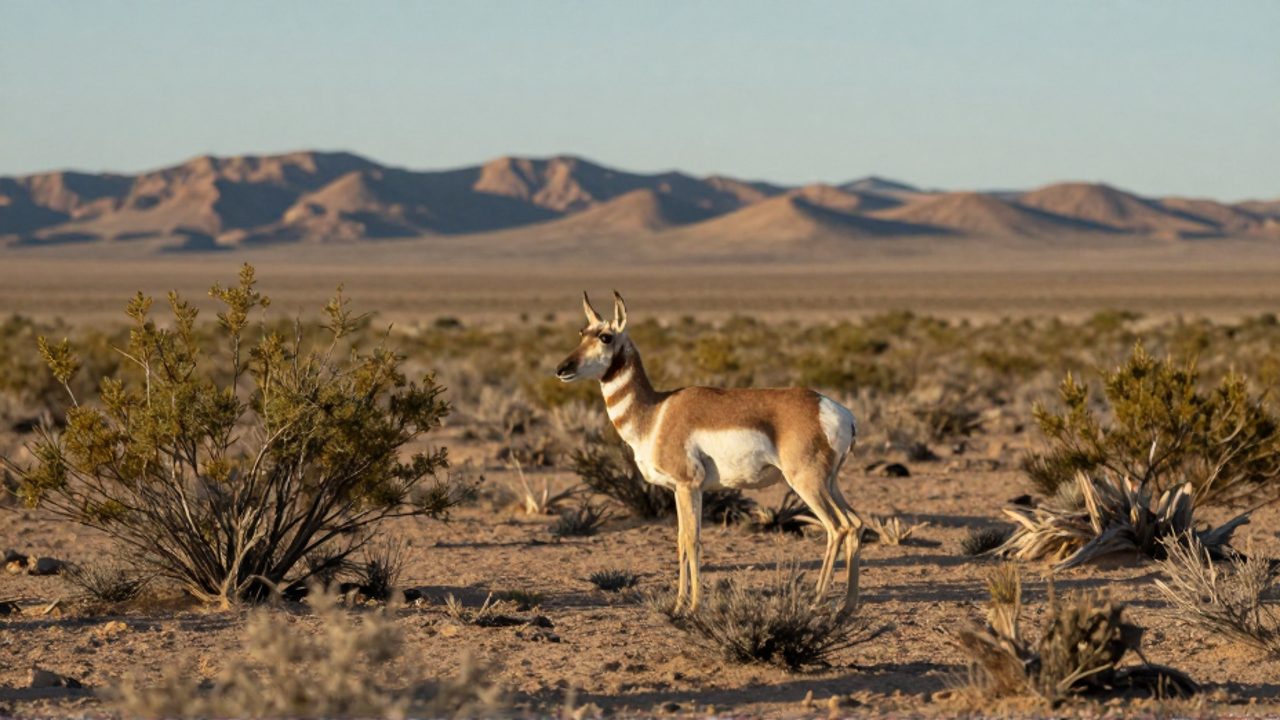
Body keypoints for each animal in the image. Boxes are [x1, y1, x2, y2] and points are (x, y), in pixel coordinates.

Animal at [555, 292, 863, 612]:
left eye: (605, 336)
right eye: (582, 332)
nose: (562, 369)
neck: (656, 413)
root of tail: (837, 412)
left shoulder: (688, 485)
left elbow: (692, 540)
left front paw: (693, 605)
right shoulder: (679, 490)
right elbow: (681, 539)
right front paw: (679, 604)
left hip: (807, 484)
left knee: (837, 527)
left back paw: (817, 600)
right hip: (830, 483)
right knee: (855, 523)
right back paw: (847, 605)